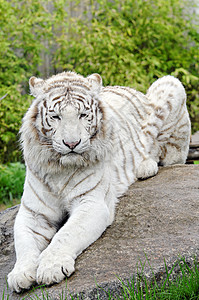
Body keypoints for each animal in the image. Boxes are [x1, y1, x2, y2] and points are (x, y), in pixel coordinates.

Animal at [8, 71, 191, 292]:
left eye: (82, 115)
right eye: (56, 117)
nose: (72, 143)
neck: (61, 168)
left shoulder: (91, 203)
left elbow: (65, 235)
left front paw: (51, 267)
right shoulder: (33, 212)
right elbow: (23, 242)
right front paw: (20, 274)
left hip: (171, 85)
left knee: (165, 154)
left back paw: (145, 166)